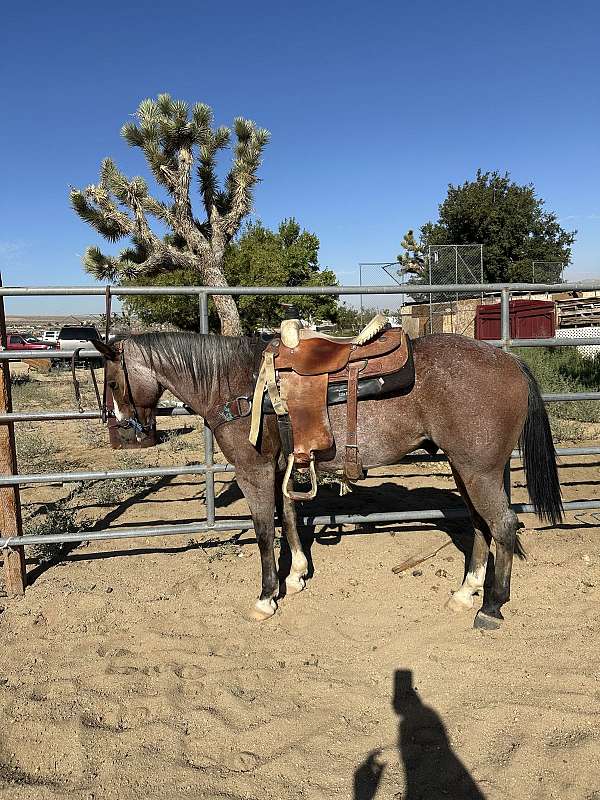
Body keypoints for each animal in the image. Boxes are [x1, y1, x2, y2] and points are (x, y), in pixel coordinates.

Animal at [94, 332, 564, 632]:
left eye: (113, 380)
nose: (124, 434)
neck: (236, 384)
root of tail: (510, 361)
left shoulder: (253, 469)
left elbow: (264, 529)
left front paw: (266, 597)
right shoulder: (281, 465)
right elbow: (287, 516)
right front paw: (298, 574)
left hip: (478, 469)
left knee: (503, 525)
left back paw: (490, 607)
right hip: (466, 467)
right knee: (482, 526)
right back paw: (466, 592)